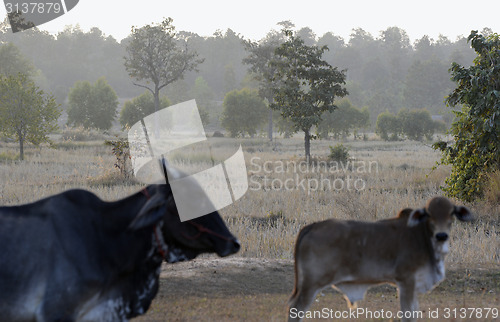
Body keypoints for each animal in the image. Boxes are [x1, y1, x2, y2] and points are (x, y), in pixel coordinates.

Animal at [290, 196, 472, 322]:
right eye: (428, 213)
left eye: (452, 213)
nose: (442, 235)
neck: (423, 236)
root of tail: (312, 226)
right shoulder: (406, 281)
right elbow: (408, 315)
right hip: (311, 284)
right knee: (296, 308)